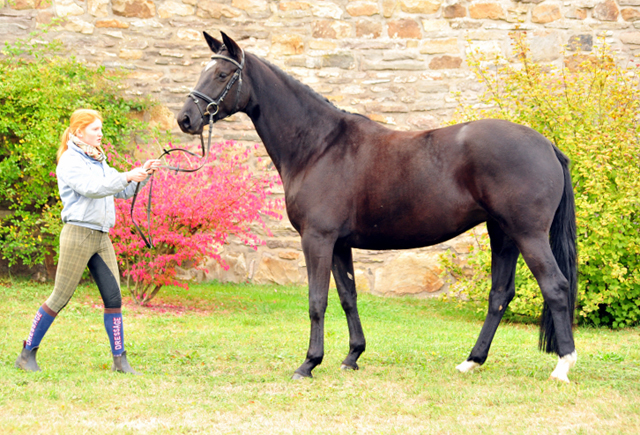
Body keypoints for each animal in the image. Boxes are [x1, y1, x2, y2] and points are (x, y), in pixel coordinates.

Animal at [176, 32, 580, 384]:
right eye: (202, 70)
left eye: (222, 74)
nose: (185, 119)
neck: (319, 146)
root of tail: (547, 145)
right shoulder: (339, 243)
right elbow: (348, 297)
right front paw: (352, 355)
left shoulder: (317, 239)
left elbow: (317, 300)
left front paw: (309, 363)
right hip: (503, 234)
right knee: (499, 295)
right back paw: (471, 361)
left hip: (528, 234)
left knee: (555, 287)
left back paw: (562, 366)